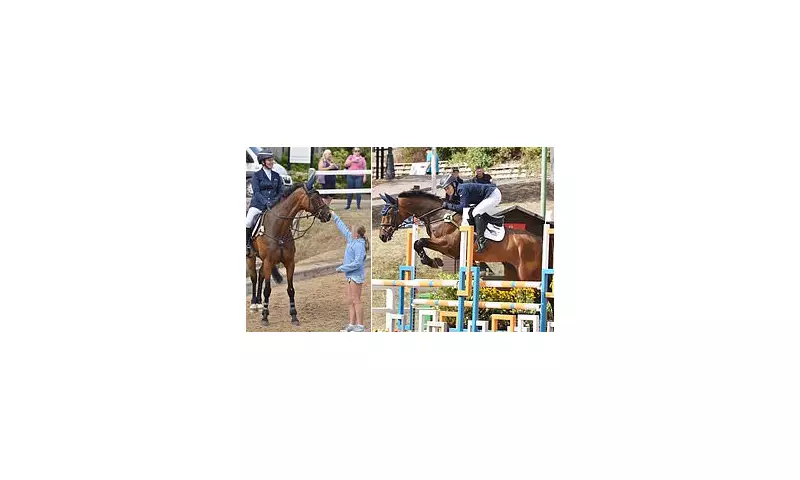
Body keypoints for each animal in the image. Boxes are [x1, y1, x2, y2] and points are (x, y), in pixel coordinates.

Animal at [247, 178, 332, 326]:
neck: (279, 228)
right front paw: (265, 317)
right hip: (251, 257)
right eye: (314, 198)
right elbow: (268, 290)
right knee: (254, 277)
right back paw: (254, 304)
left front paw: (294, 316)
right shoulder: (269, 261)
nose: (328, 215)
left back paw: (260, 303)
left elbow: (291, 289)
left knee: (261, 274)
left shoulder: (289, 262)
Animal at [378, 190, 544, 281]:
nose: (382, 236)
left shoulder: (447, 243)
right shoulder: (449, 250)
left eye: (388, 213)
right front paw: (433, 261)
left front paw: (431, 261)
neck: (439, 216)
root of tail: (539, 240)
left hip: (528, 274)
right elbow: (417, 243)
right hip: (512, 270)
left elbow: (420, 242)